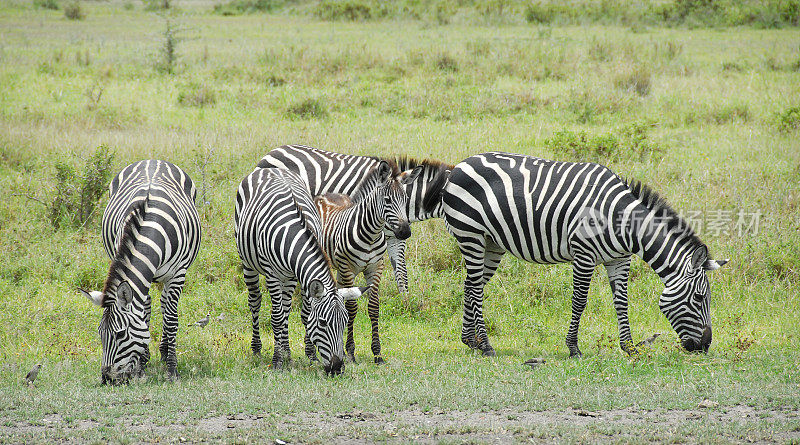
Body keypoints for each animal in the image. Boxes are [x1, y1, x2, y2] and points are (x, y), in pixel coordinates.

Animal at [79, 159, 202, 382]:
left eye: (120, 334)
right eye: (100, 333)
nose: (107, 379)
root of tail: (153, 160)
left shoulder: (178, 273)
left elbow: (171, 319)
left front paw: (172, 369)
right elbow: (144, 315)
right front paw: (141, 365)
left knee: (166, 306)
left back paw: (165, 352)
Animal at [234, 166, 366, 374]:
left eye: (345, 322)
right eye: (323, 323)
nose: (337, 368)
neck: (293, 236)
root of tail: (269, 169)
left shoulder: (299, 275)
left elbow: (302, 314)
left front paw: (309, 355)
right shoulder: (272, 275)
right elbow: (277, 317)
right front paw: (277, 360)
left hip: (287, 278)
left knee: (286, 308)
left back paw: (287, 351)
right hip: (248, 262)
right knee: (255, 302)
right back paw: (257, 349)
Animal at [260, 144, 454, 294]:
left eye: (405, 199)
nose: (406, 232)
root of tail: (271, 152)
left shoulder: (395, 237)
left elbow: (401, 272)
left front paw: (406, 302)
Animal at [310, 161, 422, 362]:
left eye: (405, 199)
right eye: (387, 200)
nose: (405, 232)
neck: (371, 235)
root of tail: (326, 194)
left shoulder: (375, 268)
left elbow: (373, 307)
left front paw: (377, 353)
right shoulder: (348, 268)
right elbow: (351, 307)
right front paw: (350, 351)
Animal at [428, 153, 728, 358]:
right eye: (699, 298)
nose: (704, 346)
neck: (623, 223)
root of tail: (460, 165)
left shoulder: (619, 259)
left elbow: (622, 303)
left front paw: (629, 347)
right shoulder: (584, 253)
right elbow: (580, 301)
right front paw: (573, 348)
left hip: (491, 244)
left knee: (471, 285)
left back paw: (471, 341)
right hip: (471, 235)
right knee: (475, 289)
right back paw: (486, 345)